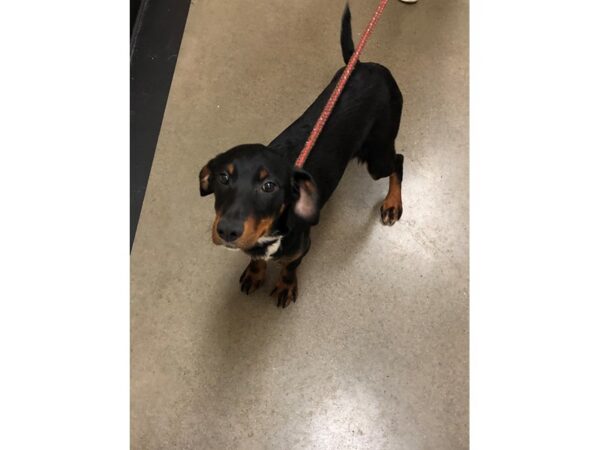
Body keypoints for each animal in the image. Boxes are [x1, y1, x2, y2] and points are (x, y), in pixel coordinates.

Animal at [200, 7, 404, 308]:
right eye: (222, 178)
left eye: (269, 186)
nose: (227, 230)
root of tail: (363, 64)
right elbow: (257, 259)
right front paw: (255, 272)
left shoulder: (302, 246)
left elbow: (289, 266)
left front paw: (285, 286)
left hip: (377, 154)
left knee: (398, 161)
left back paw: (392, 204)